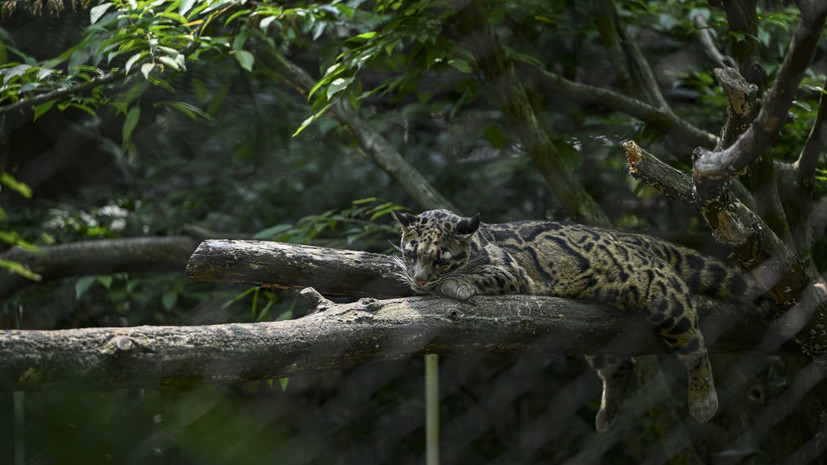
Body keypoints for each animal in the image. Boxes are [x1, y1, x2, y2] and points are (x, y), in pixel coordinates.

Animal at [392, 208, 752, 430]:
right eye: (410, 253)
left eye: (441, 260)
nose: (419, 280)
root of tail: (629, 237)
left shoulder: (515, 273)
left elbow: (484, 273)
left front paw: (457, 283)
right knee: (622, 364)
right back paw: (606, 414)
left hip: (657, 290)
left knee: (694, 343)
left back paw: (704, 400)